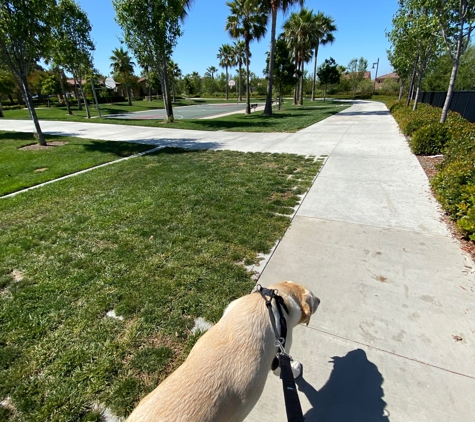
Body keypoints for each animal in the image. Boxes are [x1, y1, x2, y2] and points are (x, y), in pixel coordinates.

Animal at [126, 280, 320, 422]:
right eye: (313, 298)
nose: (319, 300)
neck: (273, 303)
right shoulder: (281, 348)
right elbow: (283, 367)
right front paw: (295, 369)